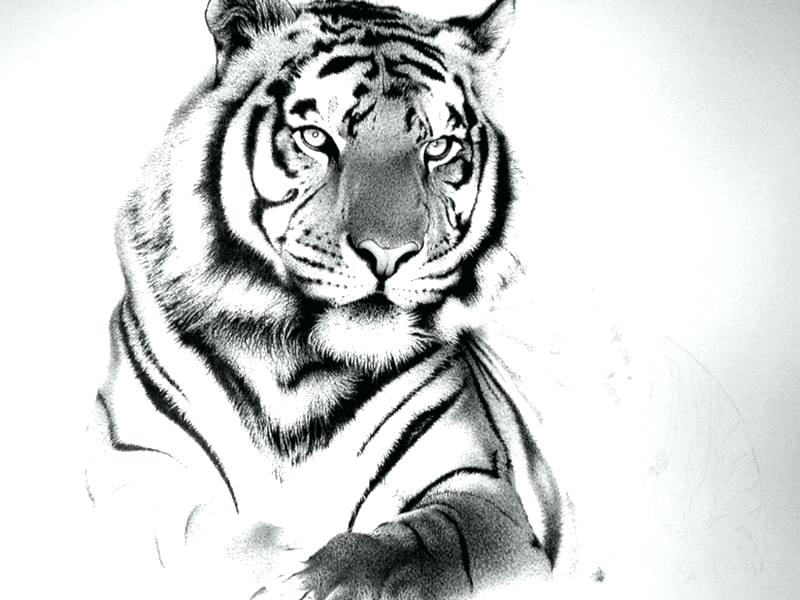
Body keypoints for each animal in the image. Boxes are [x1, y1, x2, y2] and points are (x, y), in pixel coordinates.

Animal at [86, 0, 576, 598]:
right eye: (317, 138)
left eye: (438, 149)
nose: (389, 252)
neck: (295, 370)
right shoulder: (135, 468)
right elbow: (189, 536)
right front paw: (271, 558)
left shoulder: (482, 493)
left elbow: (416, 546)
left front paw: (318, 576)